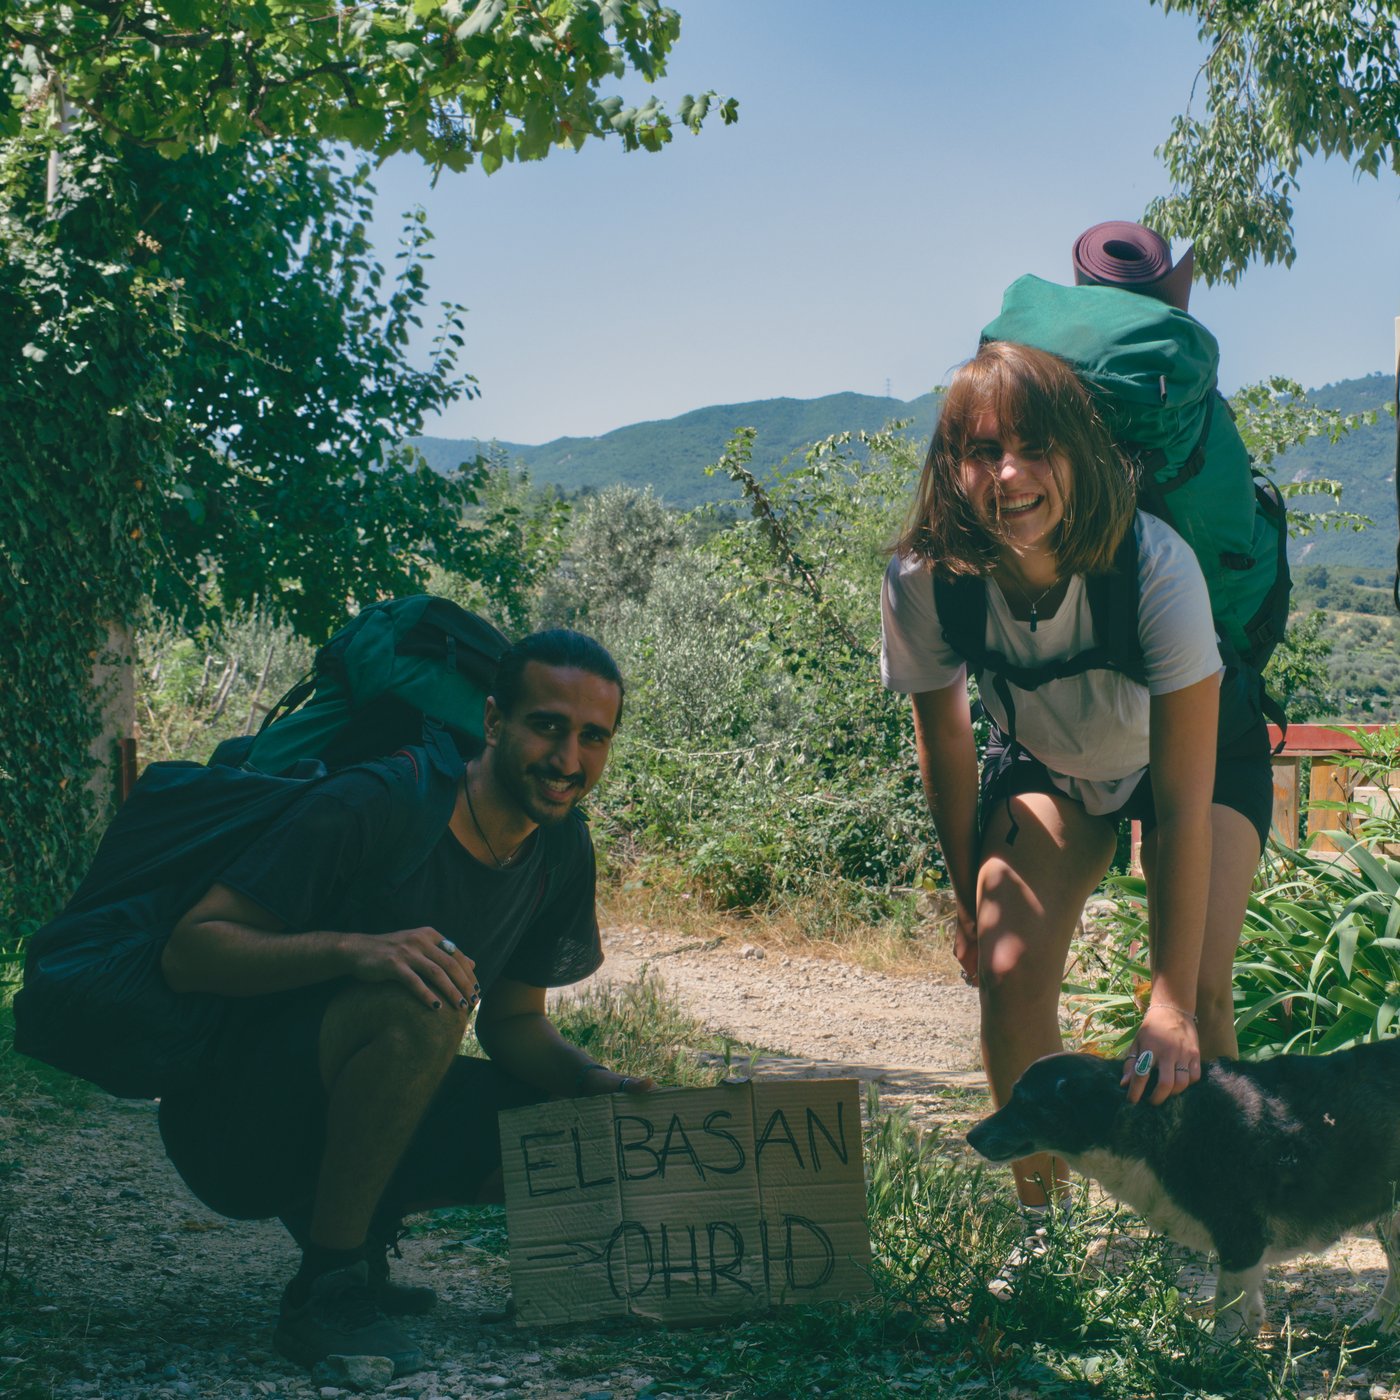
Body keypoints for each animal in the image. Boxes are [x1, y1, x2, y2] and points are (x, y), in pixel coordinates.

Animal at [968, 1052, 1400, 1332]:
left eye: (1025, 1103)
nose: (972, 1137)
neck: (1156, 1119)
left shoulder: (1241, 1240)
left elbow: (1228, 1310)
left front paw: (1216, 1363)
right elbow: (1248, 1308)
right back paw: (1380, 1322)